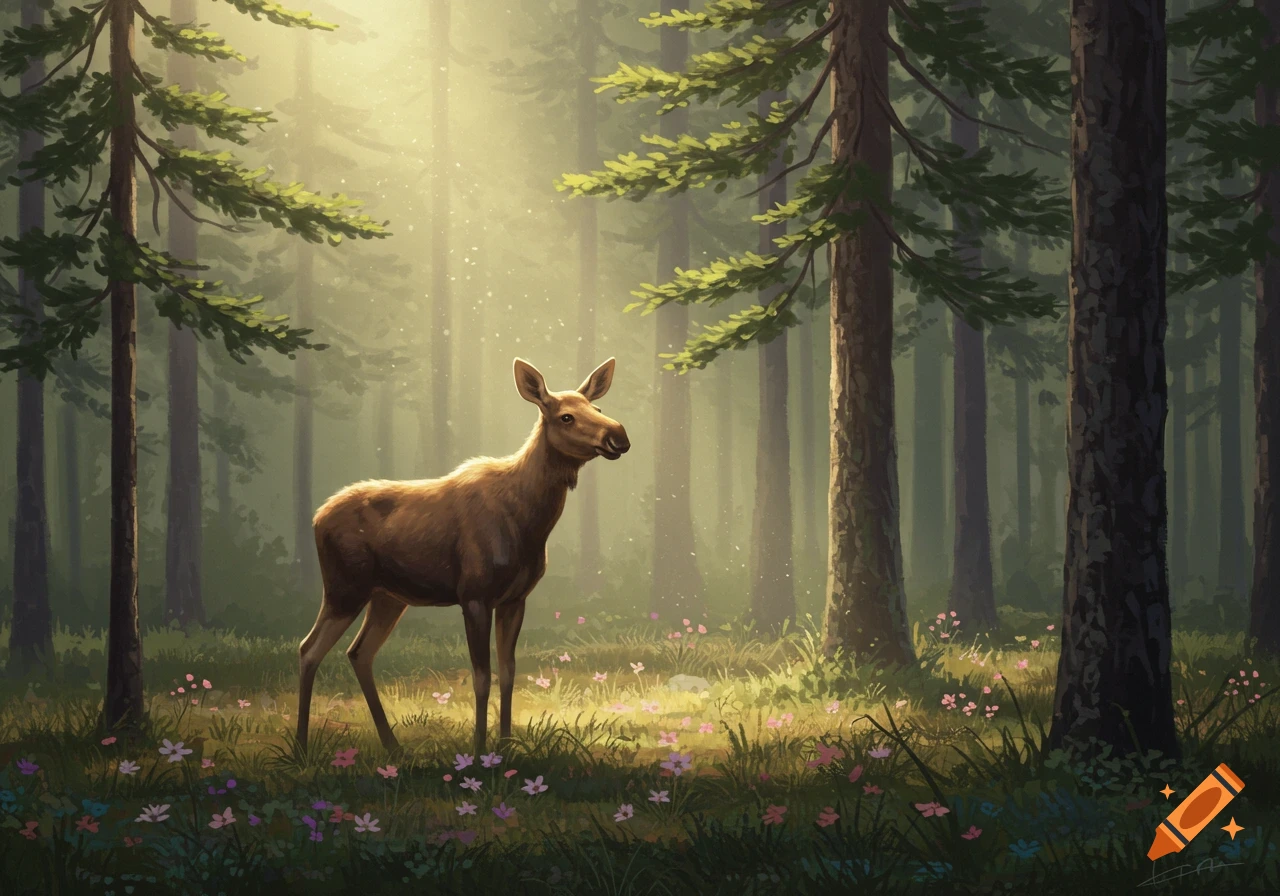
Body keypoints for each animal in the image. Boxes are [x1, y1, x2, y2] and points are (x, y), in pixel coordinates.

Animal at [296, 357, 630, 757]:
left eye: (598, 409)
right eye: (566, 416)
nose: (619, 435)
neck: (529, 522)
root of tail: (317, 517)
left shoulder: (515, 598)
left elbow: (509, 673)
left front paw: (506, 745)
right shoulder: (474, 595)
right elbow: (481, 677)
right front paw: (479, 751)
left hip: (387, 597)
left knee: (359, 652)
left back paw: (393, 746)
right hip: (344, 587)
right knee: (309, 649)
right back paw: (300, 748)